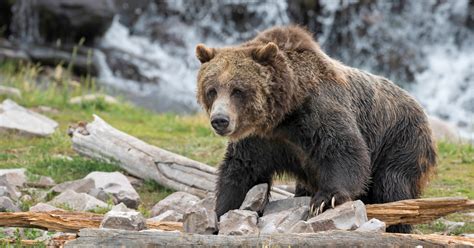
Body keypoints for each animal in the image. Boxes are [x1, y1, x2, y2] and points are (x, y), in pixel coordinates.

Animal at [193, 25, 436, 232]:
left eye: (238, 90)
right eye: (212, 90)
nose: (220, 120)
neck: (284, 114)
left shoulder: (317, 112)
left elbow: (345, 150)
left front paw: (325, 199)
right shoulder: (260, 140)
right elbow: (241, 171)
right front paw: (221, 211)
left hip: (401, 141)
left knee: (392, 185)